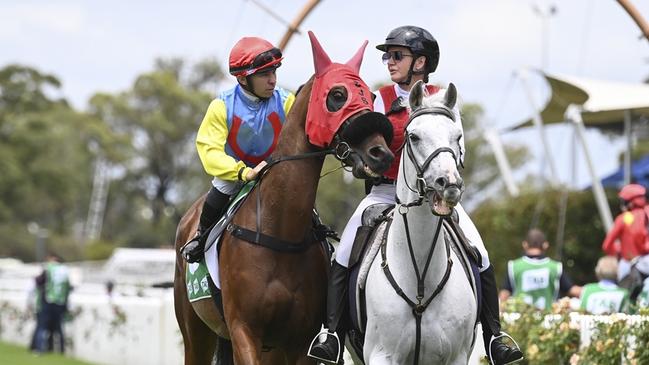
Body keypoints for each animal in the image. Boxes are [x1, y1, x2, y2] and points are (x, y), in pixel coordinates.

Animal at [173, 32, 394, 364]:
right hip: (196, 334)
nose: (381, 153)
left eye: (369, 95)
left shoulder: (299, 340)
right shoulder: (244, 331)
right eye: (337, 95)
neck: (279, 232)